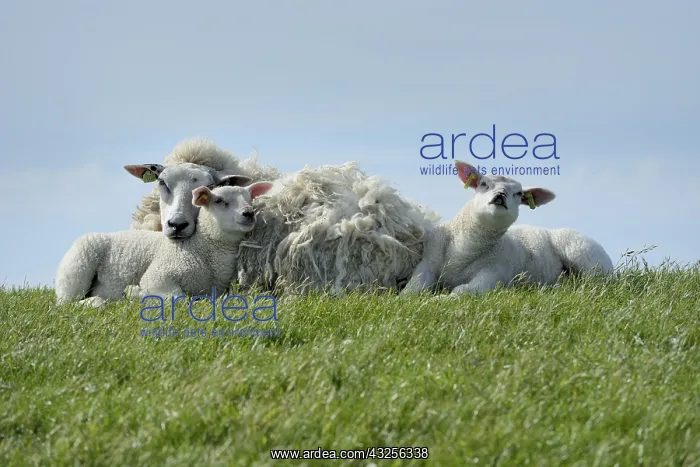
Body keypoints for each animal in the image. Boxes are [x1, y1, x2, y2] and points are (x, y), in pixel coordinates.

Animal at [55, 180, 274, 308]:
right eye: (219, 201)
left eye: (249, 199)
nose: (248, 213)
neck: (204, 248)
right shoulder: (158, 275)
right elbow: (179, 299)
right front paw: (134, 292)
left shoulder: (217, 291)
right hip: (79, 262)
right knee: (65, 304)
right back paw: (95, 302)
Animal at [401, 161, 613, 296]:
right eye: (484, 183)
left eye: (519, 194)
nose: (500, 196)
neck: (464, 251)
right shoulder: (426, 264)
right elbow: (412, 289)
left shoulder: (494, 274)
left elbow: (464, 291)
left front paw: (442, 299)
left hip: (585, 256)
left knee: (597, 282)